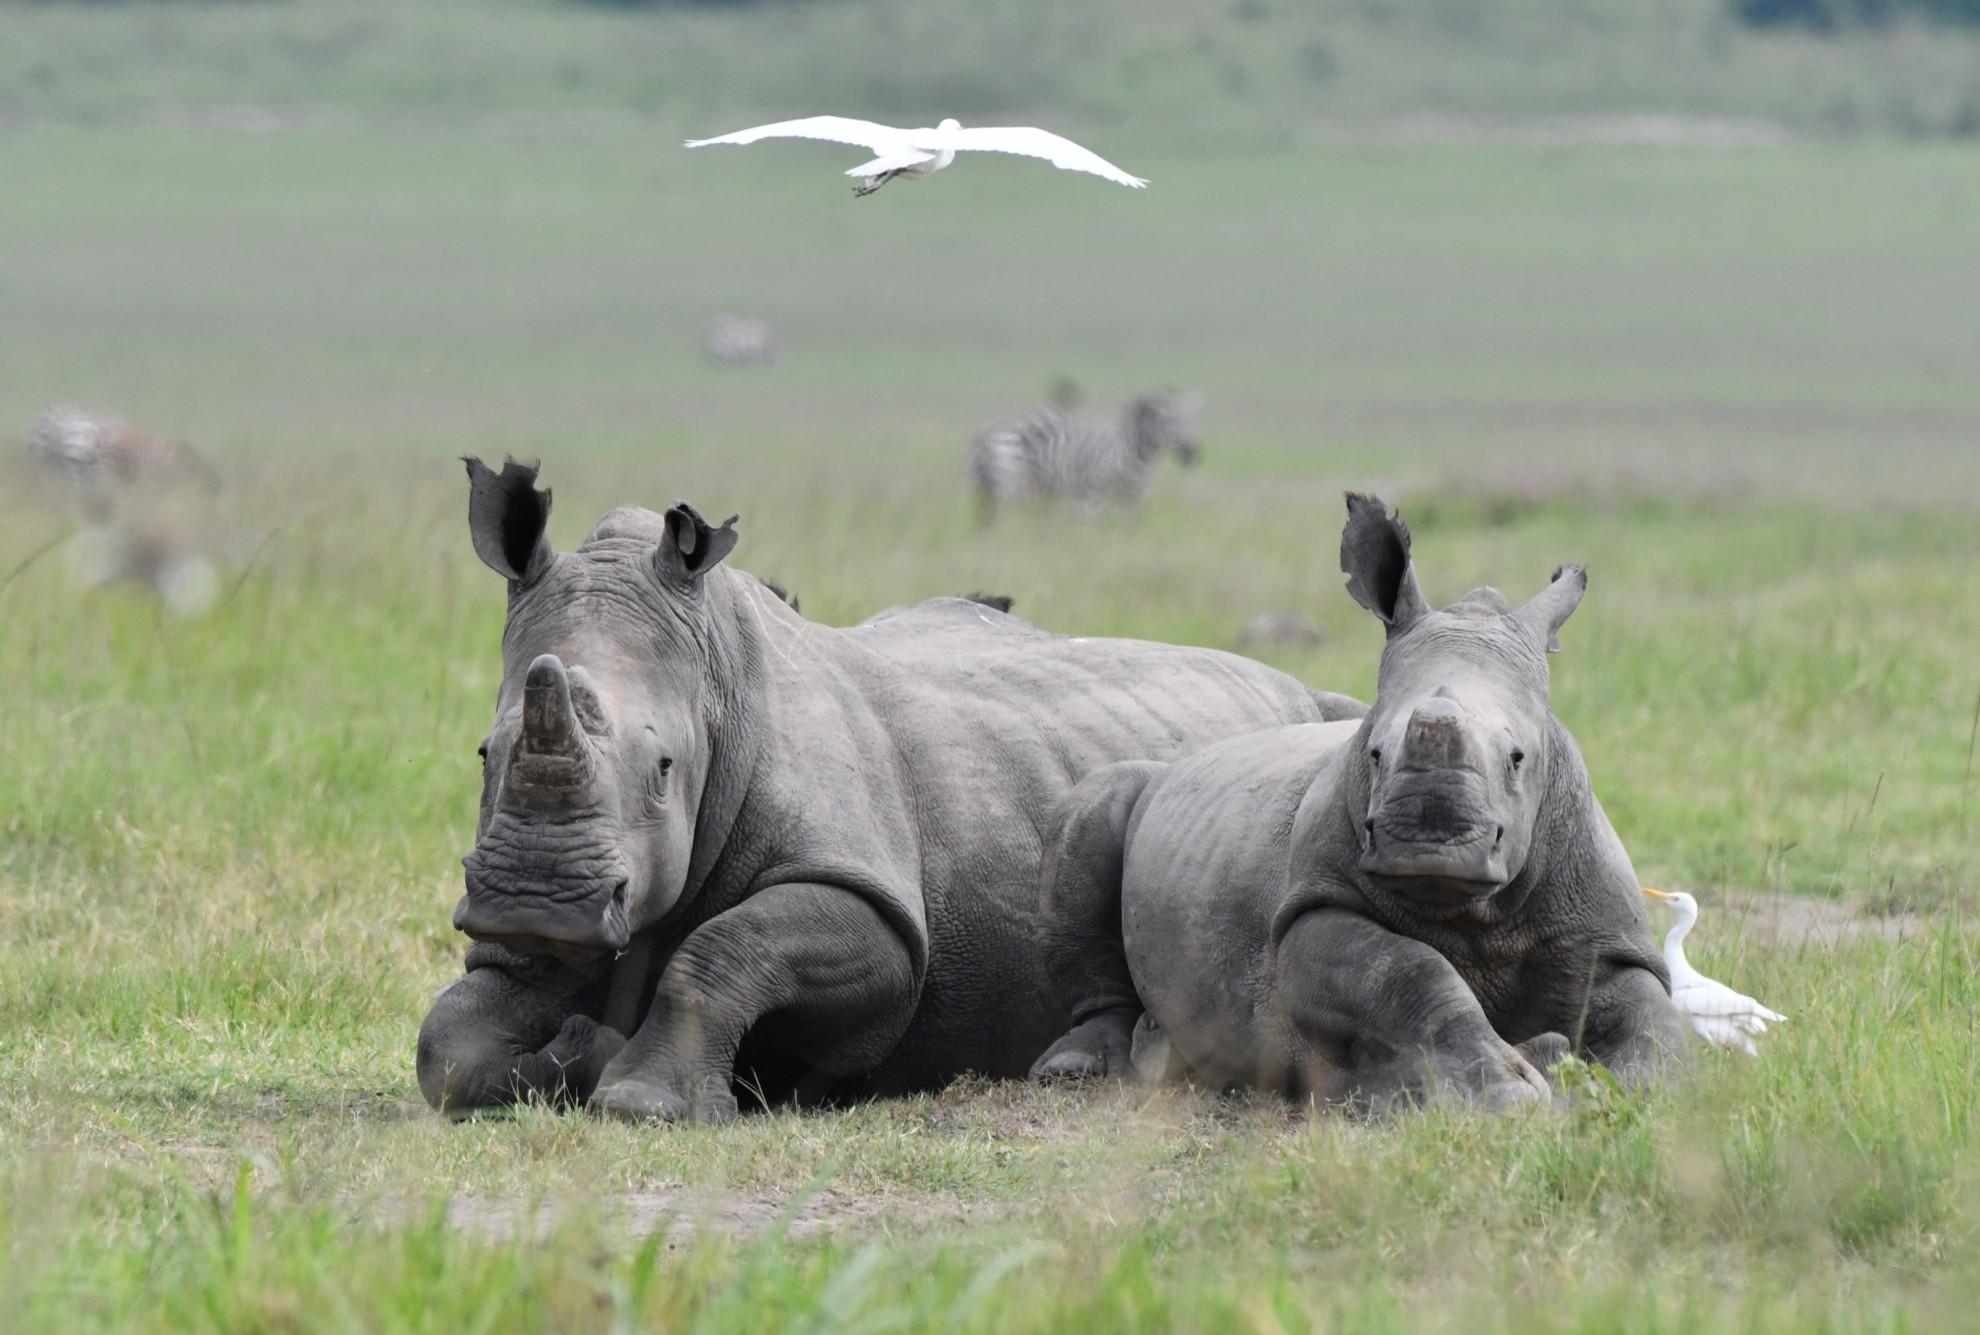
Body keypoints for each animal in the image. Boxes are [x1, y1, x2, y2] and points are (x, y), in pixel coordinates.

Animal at [416, 458, 1367, 1121]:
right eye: (483, 752)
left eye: (663, 769)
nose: (536, 902)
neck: (720, 678)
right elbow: (448, 1041)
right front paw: (577, 1047)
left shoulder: (876, 909)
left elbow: (728, 946)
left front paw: (637, 1098)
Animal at [1029, 494, 1685, 1108]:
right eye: (1373, 753)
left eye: (1518, 758)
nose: (1428, 845)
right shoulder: (1311, 908)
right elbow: (1408, 973)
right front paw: (1507, 1095)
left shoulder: (1604, 936)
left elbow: (1651, 1016)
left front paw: (1627, 1088)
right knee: (1096, 810)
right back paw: (1083, 1067)